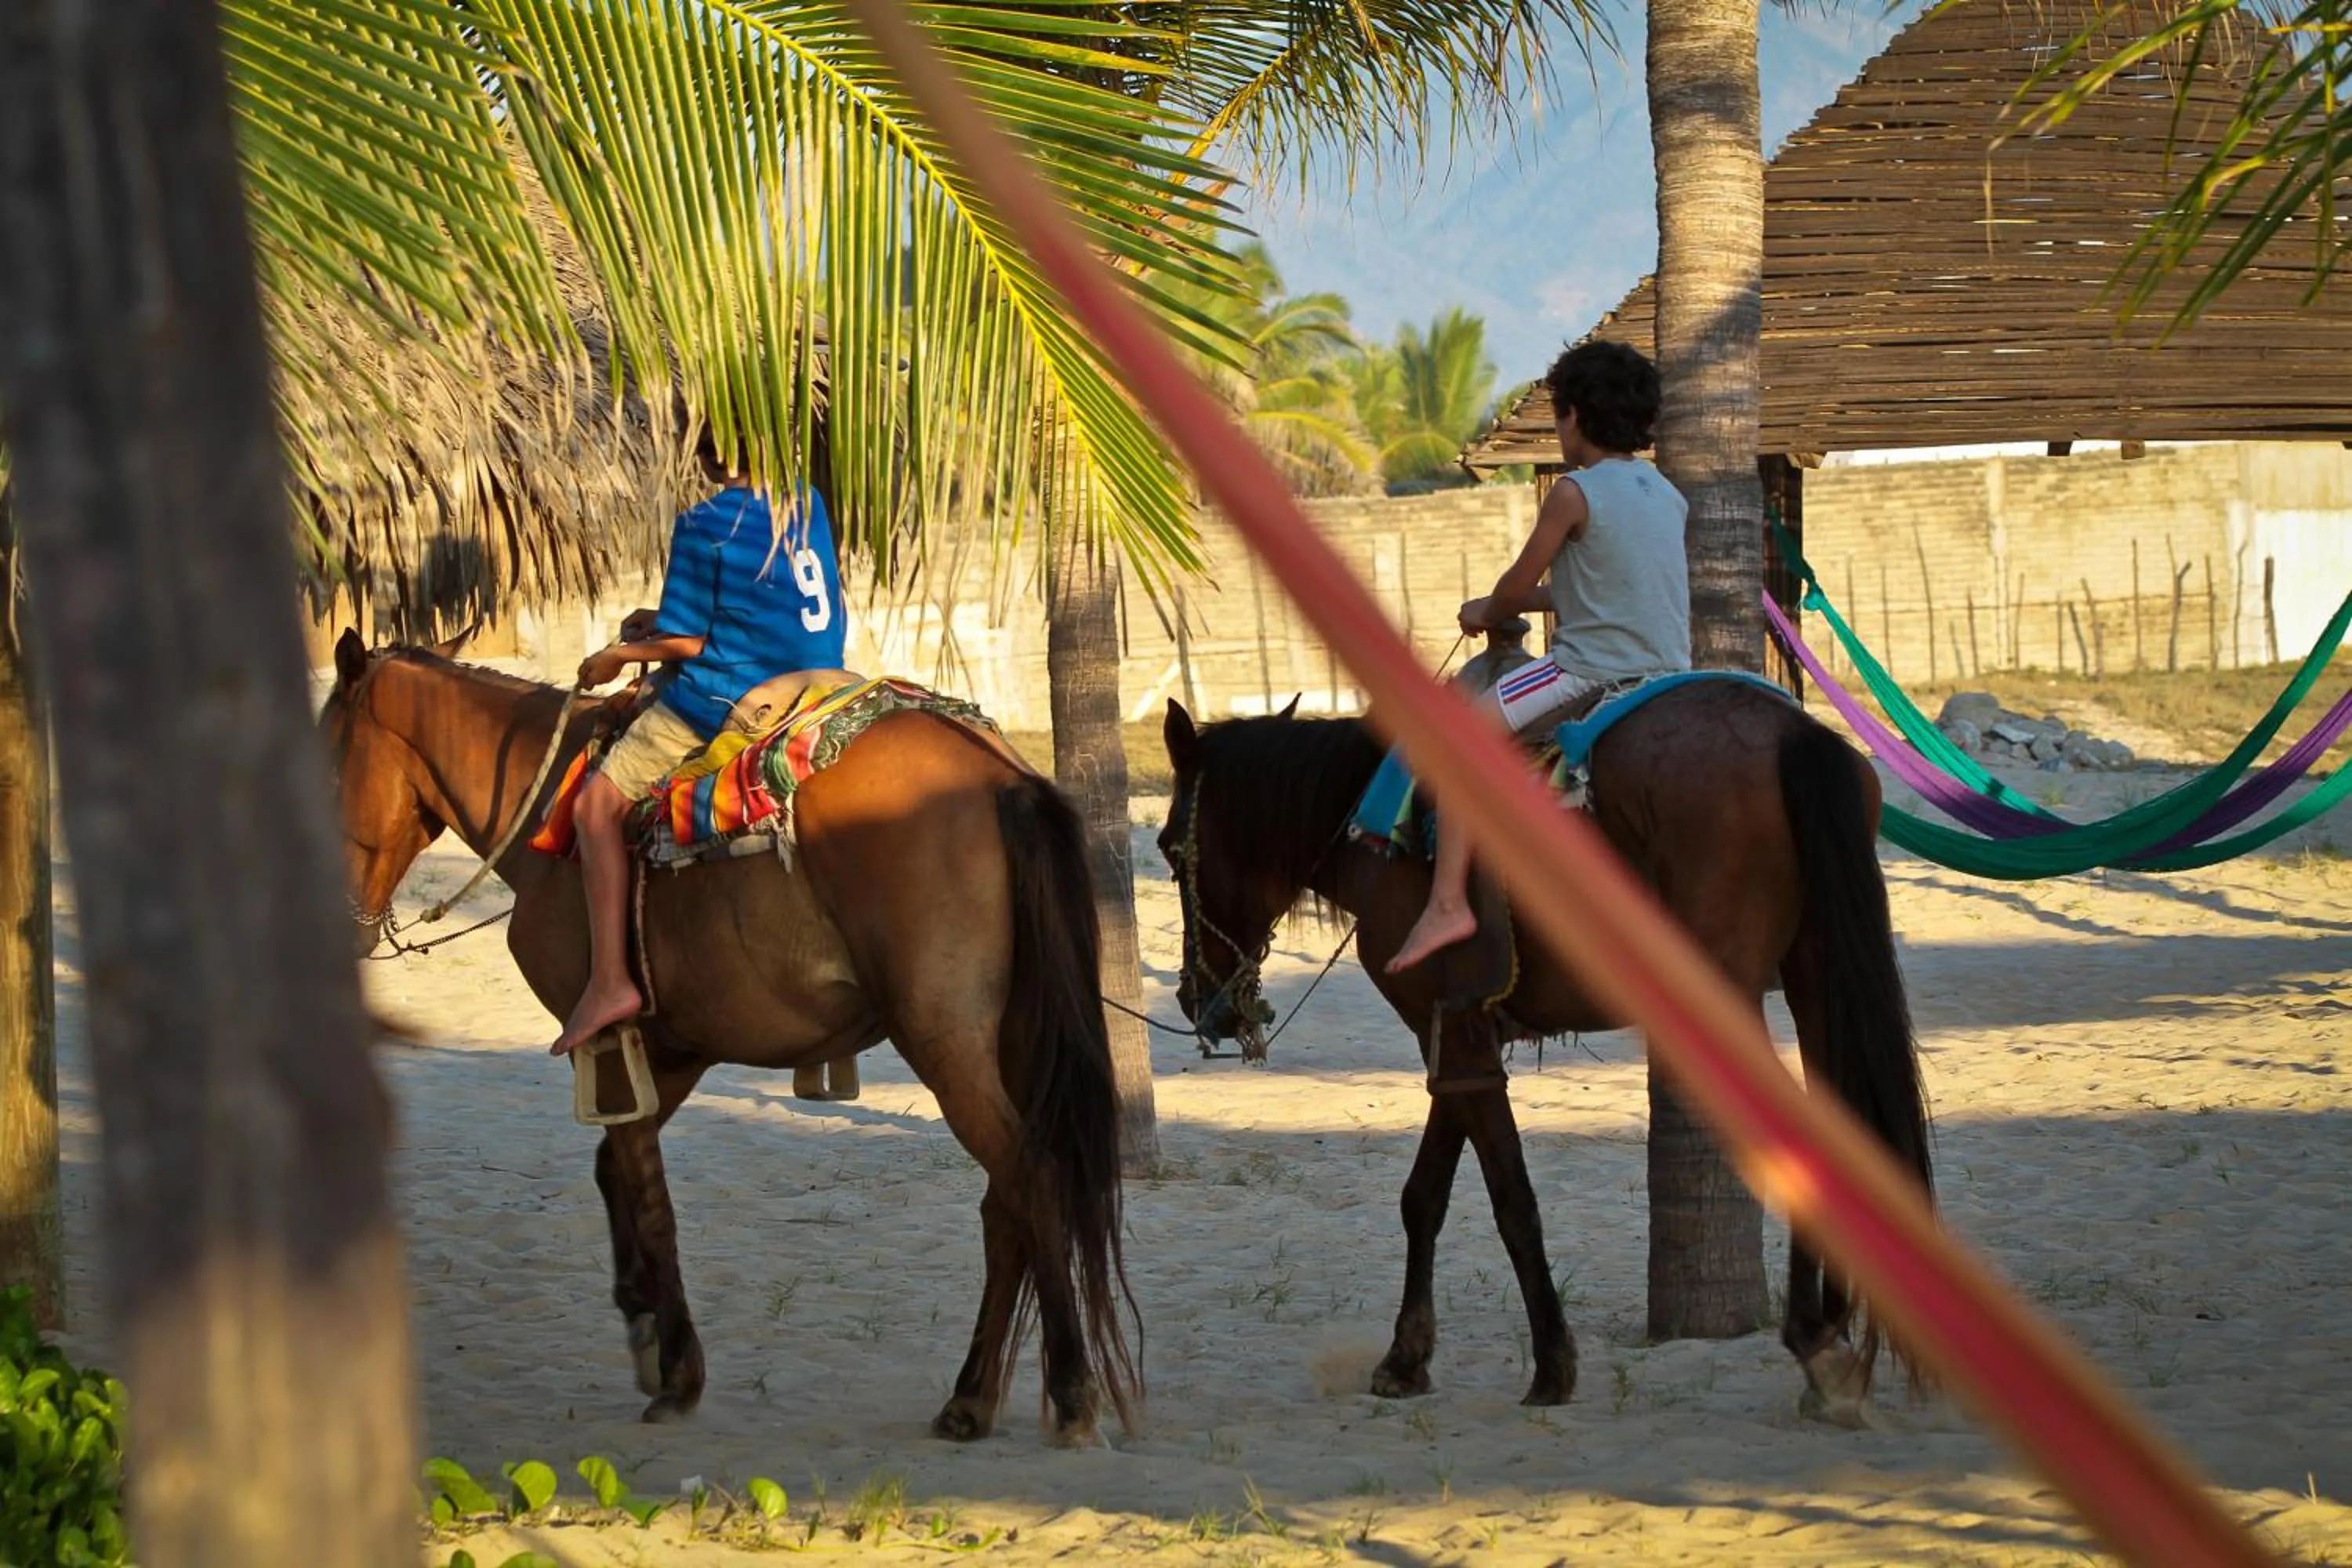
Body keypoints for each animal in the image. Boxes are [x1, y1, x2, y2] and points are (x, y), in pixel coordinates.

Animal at [321, 629, 1135, 1444]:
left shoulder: (611, 1038)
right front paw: (645, 1327)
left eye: (324, 761)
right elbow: (615, 1174)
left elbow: (647, 1193)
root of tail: (1002, 777)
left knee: (1031, 1177)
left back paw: (1069, 1392)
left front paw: (676, 1368)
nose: (342, 931)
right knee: (1006, 1205)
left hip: (943, 1042)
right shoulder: (676, 1052)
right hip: (1010, 1040)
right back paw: (970, 1399)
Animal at [1159, 672, 1932, 1421]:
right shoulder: (1455, 1041)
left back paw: (1814, 1342)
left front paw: (1552, 1365)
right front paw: (1406, 1359)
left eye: (1169, 849)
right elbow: (1424, 1197)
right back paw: (1824, 1335)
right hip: (1813, 980)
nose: (1196, 1000)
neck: (1367, 831)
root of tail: (1793, 735)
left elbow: (1511, 1200)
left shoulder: (1455, 1042)